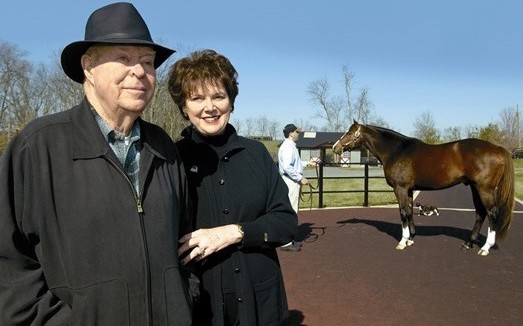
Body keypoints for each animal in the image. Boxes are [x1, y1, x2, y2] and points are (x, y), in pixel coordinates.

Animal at [334, 121, 512, 256]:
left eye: (350, 132)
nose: (335, 147)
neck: (396, 151)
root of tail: (498, 148)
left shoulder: (400, 188)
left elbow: (403, 212)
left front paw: (402, 242)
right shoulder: (409, 190)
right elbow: (409, 212)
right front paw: (411, 239)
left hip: (485, 189)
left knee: (492, 213)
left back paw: (485, 248)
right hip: (475, 188)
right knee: (480, 213)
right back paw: (468, 244)